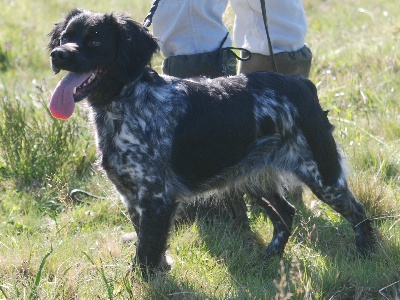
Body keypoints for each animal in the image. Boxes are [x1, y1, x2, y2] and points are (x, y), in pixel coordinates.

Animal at [47, 8, 376, 272]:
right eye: (64, 37)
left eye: (95, 40)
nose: (58, 54)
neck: (124, 104)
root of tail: (303, 85)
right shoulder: (132, 198)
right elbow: (149, 245)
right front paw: (161, 269)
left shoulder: (156, 198)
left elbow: (146, 253)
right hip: (253, 177)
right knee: (286, 214)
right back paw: (269, 257)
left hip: (323, 174)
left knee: (359, 213)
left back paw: (366, 255)